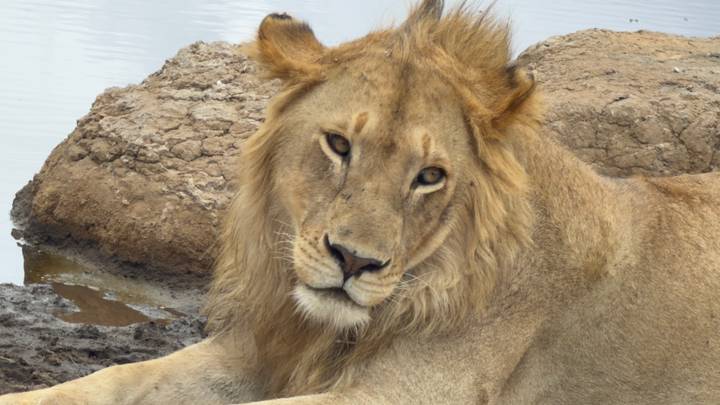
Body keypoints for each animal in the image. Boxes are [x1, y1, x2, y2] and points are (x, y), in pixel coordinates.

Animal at [3, 1, 720, 404]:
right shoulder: (255, 352)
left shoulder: (410, 394)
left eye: (430, 175)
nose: (353, 261)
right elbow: (104, 383)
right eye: (339, 144)